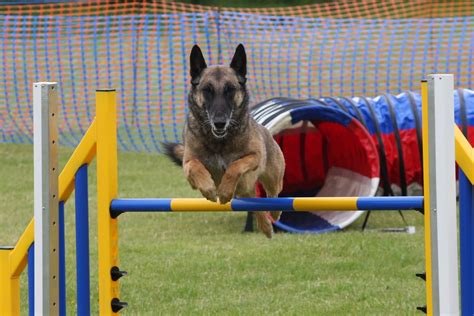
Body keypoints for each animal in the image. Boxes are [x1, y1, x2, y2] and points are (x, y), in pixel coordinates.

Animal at [163, 43, 286, 237]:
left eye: (230, 90)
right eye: (207, 90)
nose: (219, 122)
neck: (219, 142)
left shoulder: (255, 156)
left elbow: (234, 167)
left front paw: (225, 191)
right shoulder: (188, 165)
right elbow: (195, 166)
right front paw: (209, 189)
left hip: (273, 178)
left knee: (273, 196)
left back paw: (273, 215)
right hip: (247, 190)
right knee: (256, 204)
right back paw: (265, 226)